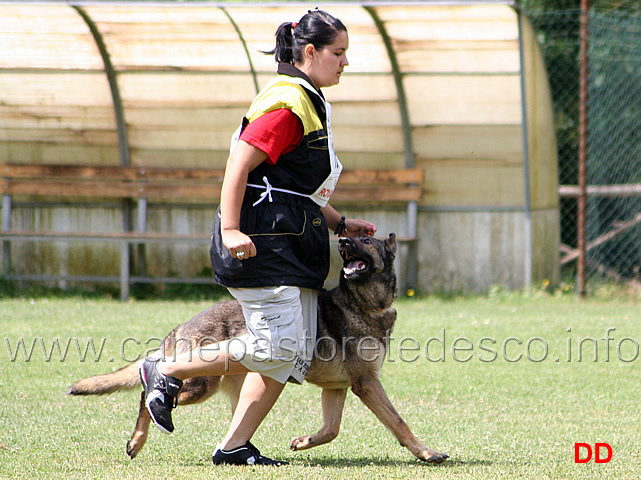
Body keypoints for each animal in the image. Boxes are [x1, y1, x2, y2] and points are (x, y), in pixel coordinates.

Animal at [70, 234, 448, 464]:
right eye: (354, 237)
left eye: (366, 240)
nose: (342, 239)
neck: (364, 303)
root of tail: (179, 327)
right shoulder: (366, 384)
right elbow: (398, 422)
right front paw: (426, 452)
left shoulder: (337, 388)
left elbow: (331, 429)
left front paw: (303, 442)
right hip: (201, 386)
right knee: (148, 394)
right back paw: (141, 429)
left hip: (234, 385)